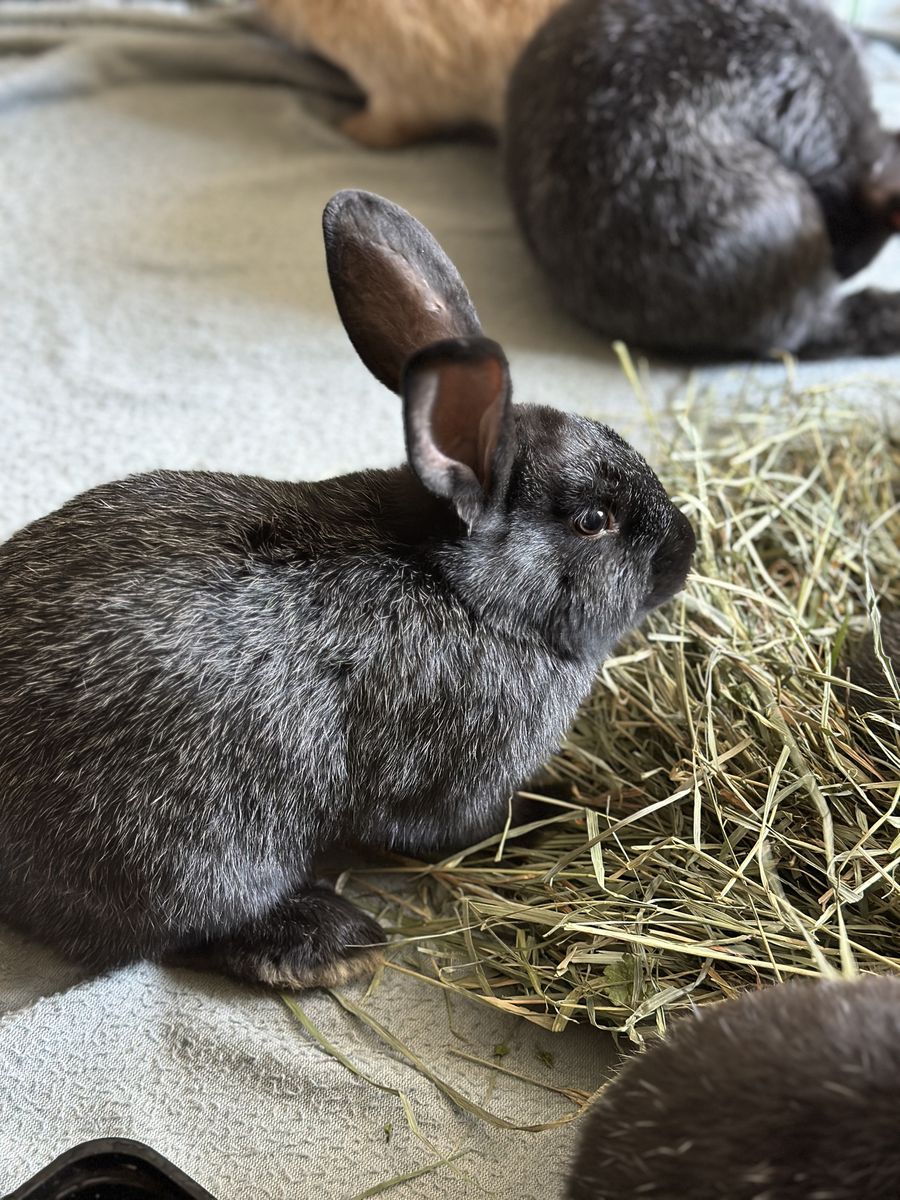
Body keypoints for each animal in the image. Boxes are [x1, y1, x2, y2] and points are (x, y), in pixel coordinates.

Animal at [0, 190, 695, 990]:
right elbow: (460, 826)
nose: (685, 549)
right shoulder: (461, 778)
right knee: (191, 931)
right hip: (196, 849)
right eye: (594, 521)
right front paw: (560, 810)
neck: (467, 592)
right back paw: (333, 942)